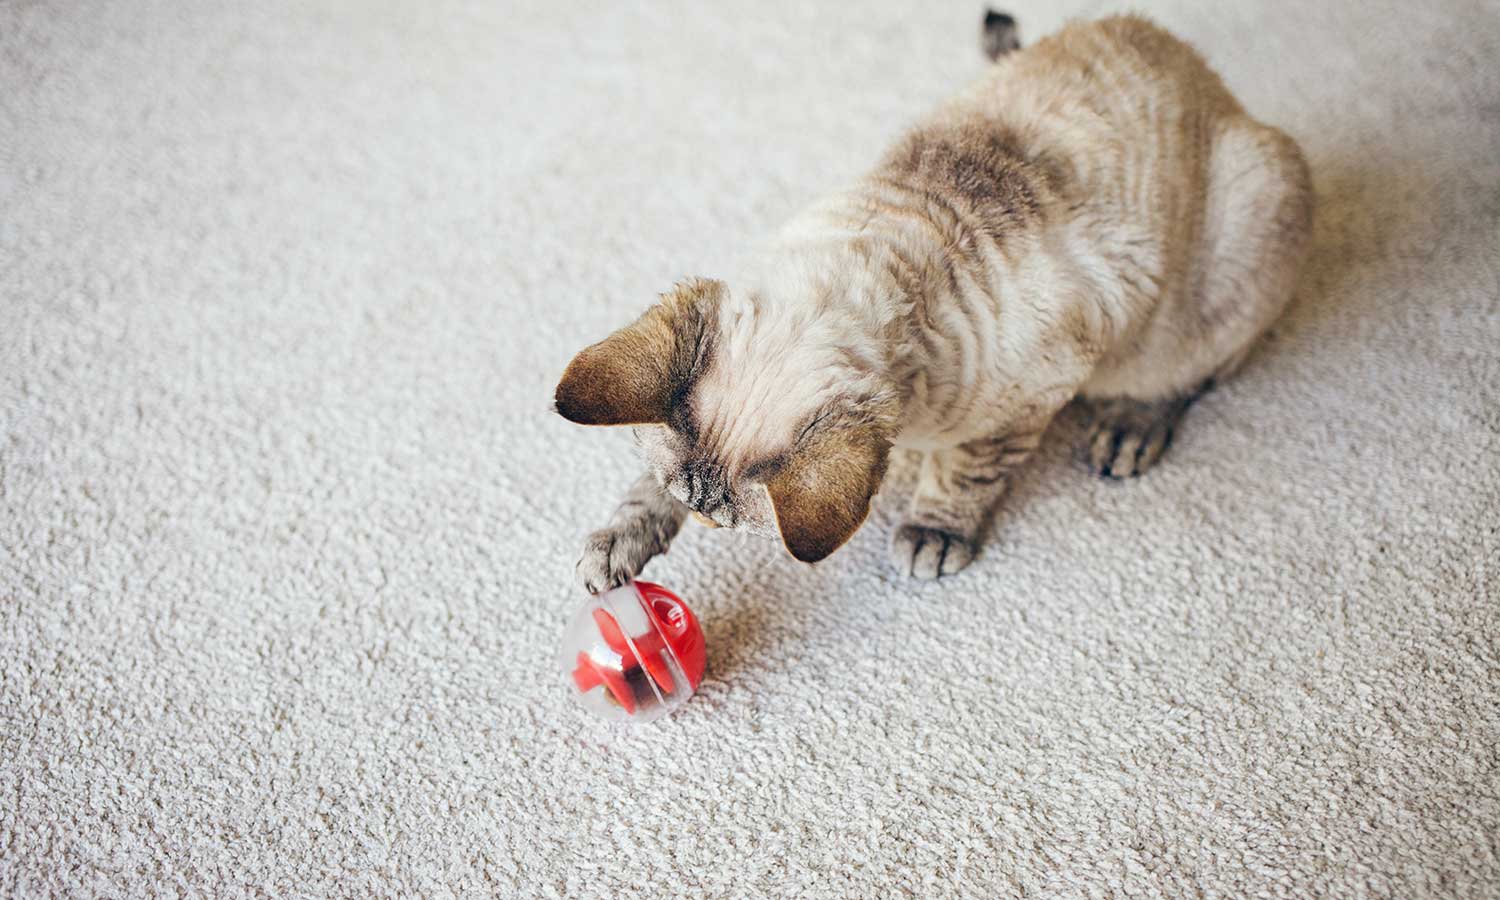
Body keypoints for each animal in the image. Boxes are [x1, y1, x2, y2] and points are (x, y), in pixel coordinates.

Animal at [555, 15, 1314, 591]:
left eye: (723, 523)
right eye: (698, 513)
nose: (708, 523)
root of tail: (1207, 77)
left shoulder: (1032, 395)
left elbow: (965, 473)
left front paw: (932, 531)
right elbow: (646, 484)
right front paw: (617, 546)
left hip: (1238, 236)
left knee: (1196, 372)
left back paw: (1128, 428)